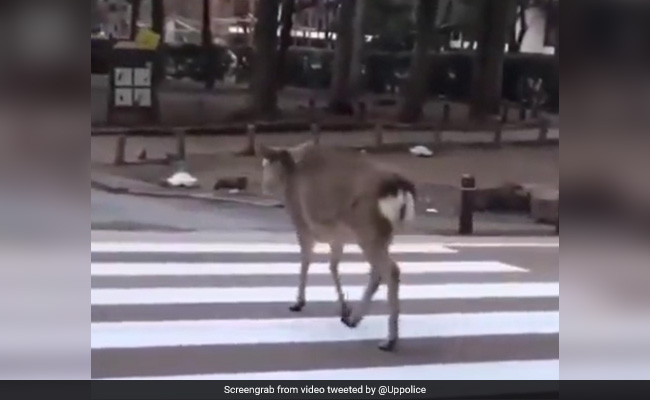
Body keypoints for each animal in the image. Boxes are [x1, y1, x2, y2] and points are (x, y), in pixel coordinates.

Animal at [258, 141, 416, 352]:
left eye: (265, 164)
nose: (265, 185)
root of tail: (400, 188)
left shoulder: (302, 224)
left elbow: (305, 260)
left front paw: (298, 302)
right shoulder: (337, 237)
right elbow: (333, 266)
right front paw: (344, 308)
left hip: (367, 230)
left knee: (391, 270)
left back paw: (389, 340)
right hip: (386, 234)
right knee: (377, 272)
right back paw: (354, 319)